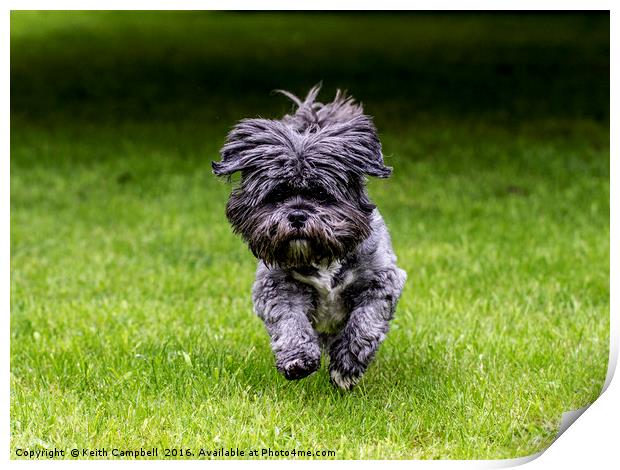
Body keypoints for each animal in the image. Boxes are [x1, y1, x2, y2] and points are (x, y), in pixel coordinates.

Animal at [213, 84, 406, 390]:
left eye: (321, 195)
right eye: (278, 195)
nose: (297, 215)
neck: (322, 255)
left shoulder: (381, 281)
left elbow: (365, 323)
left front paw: (347, 365)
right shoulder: (276, 286)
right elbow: (290, 322)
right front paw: (298, 359)